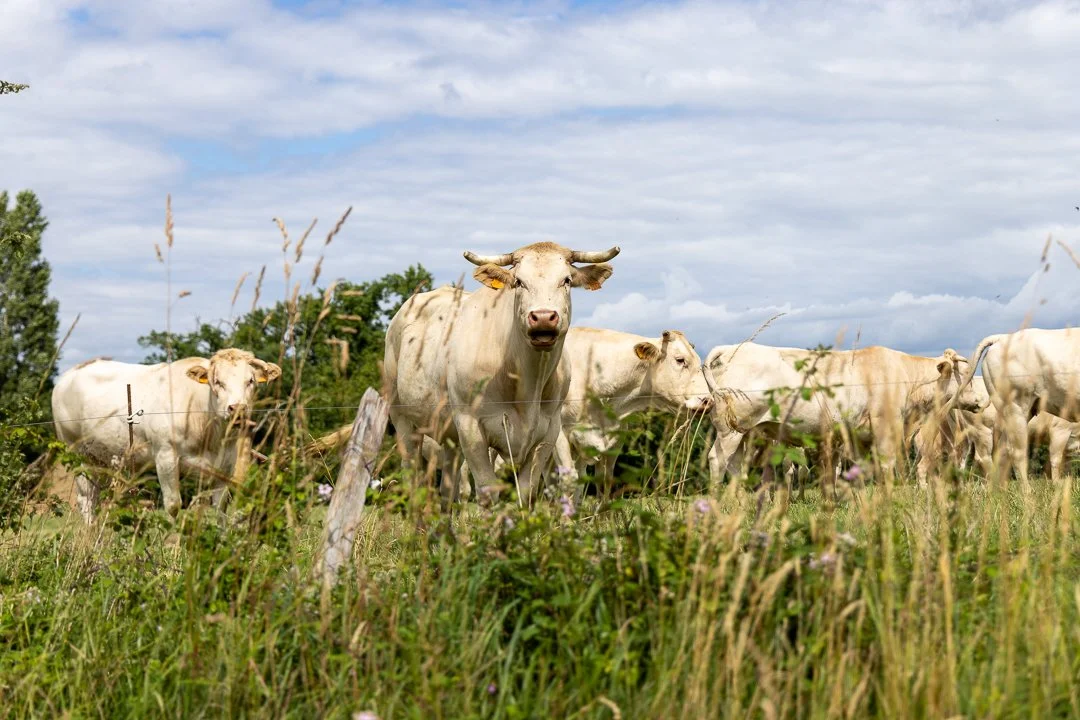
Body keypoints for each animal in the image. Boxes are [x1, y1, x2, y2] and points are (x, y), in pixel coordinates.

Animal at [52, 349, 282, 522]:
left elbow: (220, 509)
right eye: (217, 381)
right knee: (86, 499)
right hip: (77, 453)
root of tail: (72, 372)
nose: (238, 409)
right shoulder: (165, 457)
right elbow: (173, 506)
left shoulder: (225, 466)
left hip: (103, 457)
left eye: (250, 381)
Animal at [383, 241, 619, 506]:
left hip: (449, 435)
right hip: (401, 416)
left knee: (448, 486)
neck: (526, 382)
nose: (543, 318)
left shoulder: (548, 431)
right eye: (518, 282)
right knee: (411, 474)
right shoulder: (470, 425)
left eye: (566, 280)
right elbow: (487, 489)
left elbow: (526, 491)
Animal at [551, 328, 711, 498]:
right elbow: (569, 480)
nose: (708, 401)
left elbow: (603, 484)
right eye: (680, 360)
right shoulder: (560, 434)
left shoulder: (614, 441)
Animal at [702, 342, 983, 488]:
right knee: (717, 460)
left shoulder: (859, 435)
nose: (980, 400)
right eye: (964, 374)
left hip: (743, 432)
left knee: (735, 466)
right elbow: (887, 464)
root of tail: (733, 348)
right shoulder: (885, 427)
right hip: (730, 430)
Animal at [954, 328, 1080, 483]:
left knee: (992, 454)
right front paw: (1057, 484)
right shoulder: (1060, 430)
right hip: (1008, 413)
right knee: (1012, 453)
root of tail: (1002, 337)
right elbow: (1056, 461)